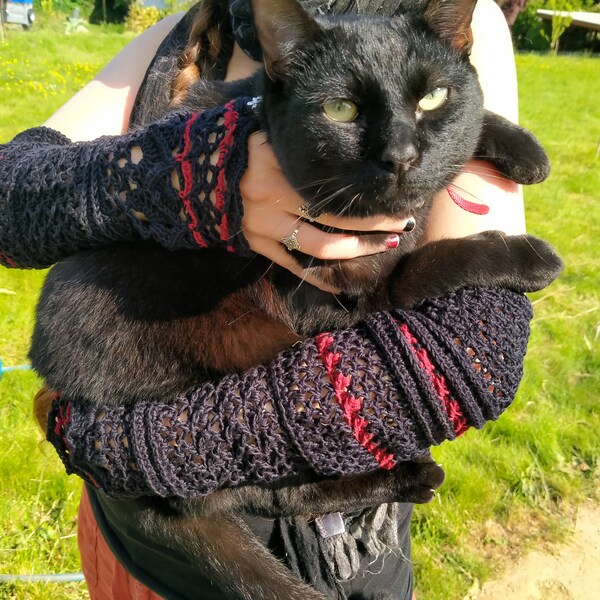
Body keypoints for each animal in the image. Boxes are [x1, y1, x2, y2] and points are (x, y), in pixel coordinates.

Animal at [28, 0, 564, 596]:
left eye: (432, 98)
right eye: (340, 109)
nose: (401, 155)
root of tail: (56, 378)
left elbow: (469, 126)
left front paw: (524, 150)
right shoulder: (353, 292)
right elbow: (437, 261)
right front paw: (529, 257)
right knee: (261, 489)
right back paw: (410, 473)